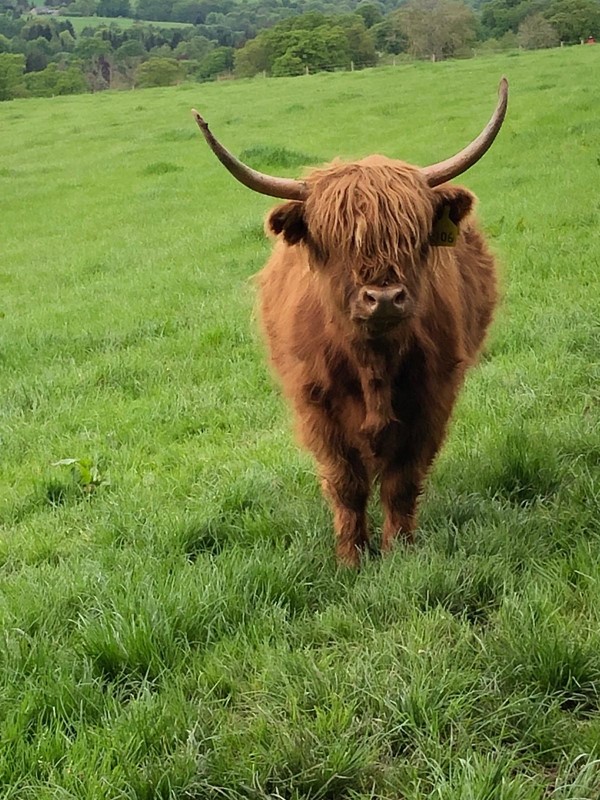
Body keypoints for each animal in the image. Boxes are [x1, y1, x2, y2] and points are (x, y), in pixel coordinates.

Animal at [192, 81, 506, 564]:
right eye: (338, 241)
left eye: (412, 237)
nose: (385, 298)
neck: (372, 361)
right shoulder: (317, 408)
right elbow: (347, 485)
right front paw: (351, 559)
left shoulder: (431, 400)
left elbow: (401, 482)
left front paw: (399, 553)